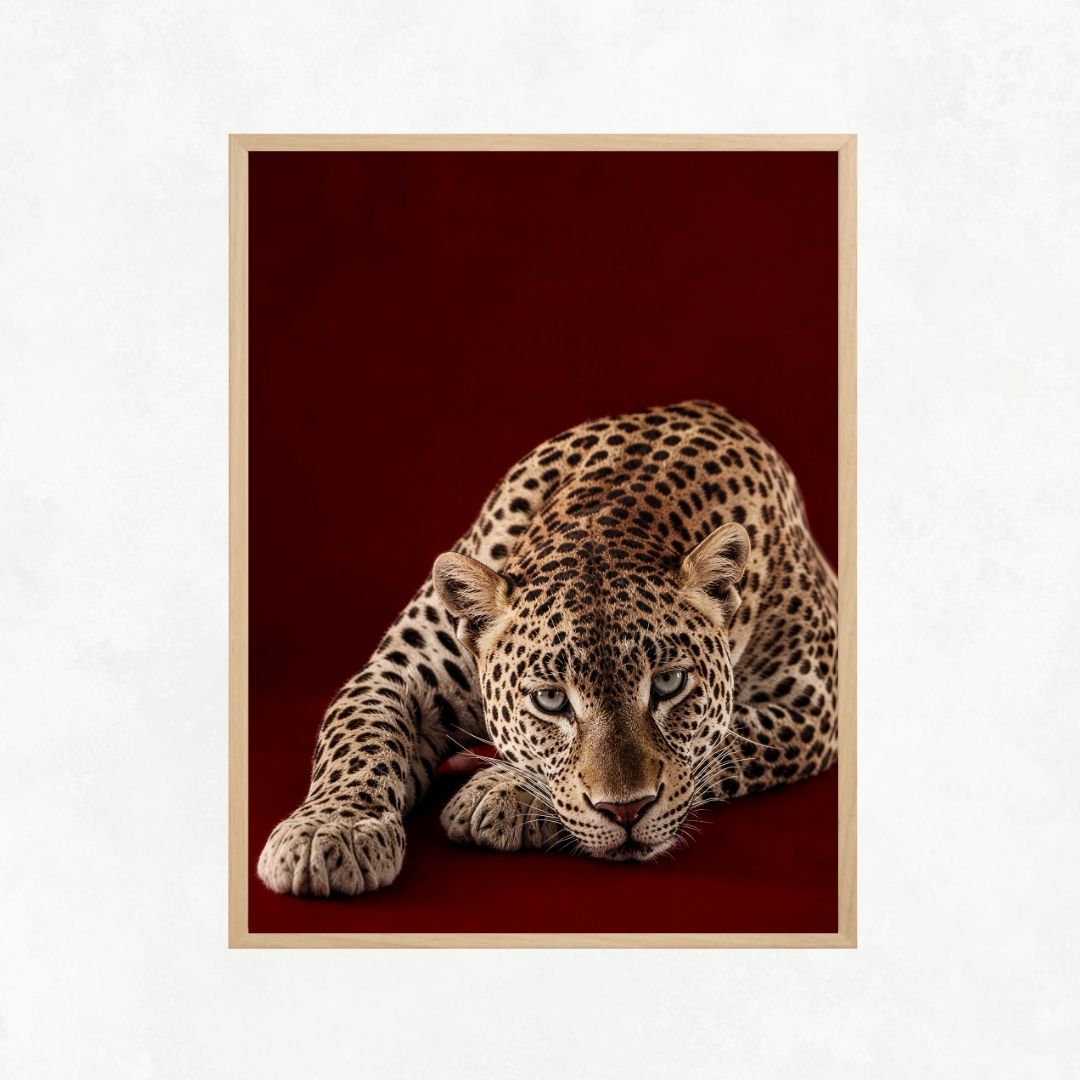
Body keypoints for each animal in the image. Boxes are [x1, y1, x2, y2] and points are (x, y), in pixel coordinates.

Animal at [257, 400, 838, 896]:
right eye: (551, 700)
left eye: (670, 683)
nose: (627, 812)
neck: (612, 515)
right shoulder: (401, 672)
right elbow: (358, 735)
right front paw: (329, 833)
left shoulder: (813, 705)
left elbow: (726, 742)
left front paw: (498, 793)